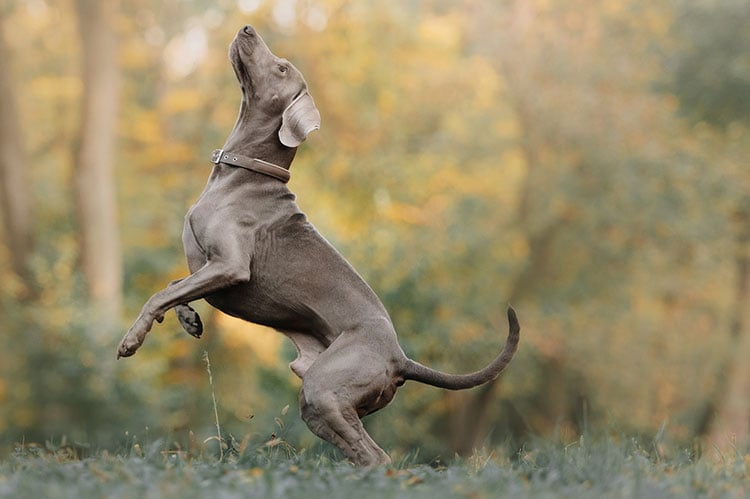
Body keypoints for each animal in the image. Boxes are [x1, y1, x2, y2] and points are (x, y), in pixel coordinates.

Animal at [119, 25, 524, 466]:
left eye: (281, 67)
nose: (247, 28)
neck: (241, 173)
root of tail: (400, 357)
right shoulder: (206, 267)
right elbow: (175, 286)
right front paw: (190, 319)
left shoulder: (231, 265)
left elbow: (159, 294)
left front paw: (131, 340)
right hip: (327, 400)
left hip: (323, 391)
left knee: (376, 458)